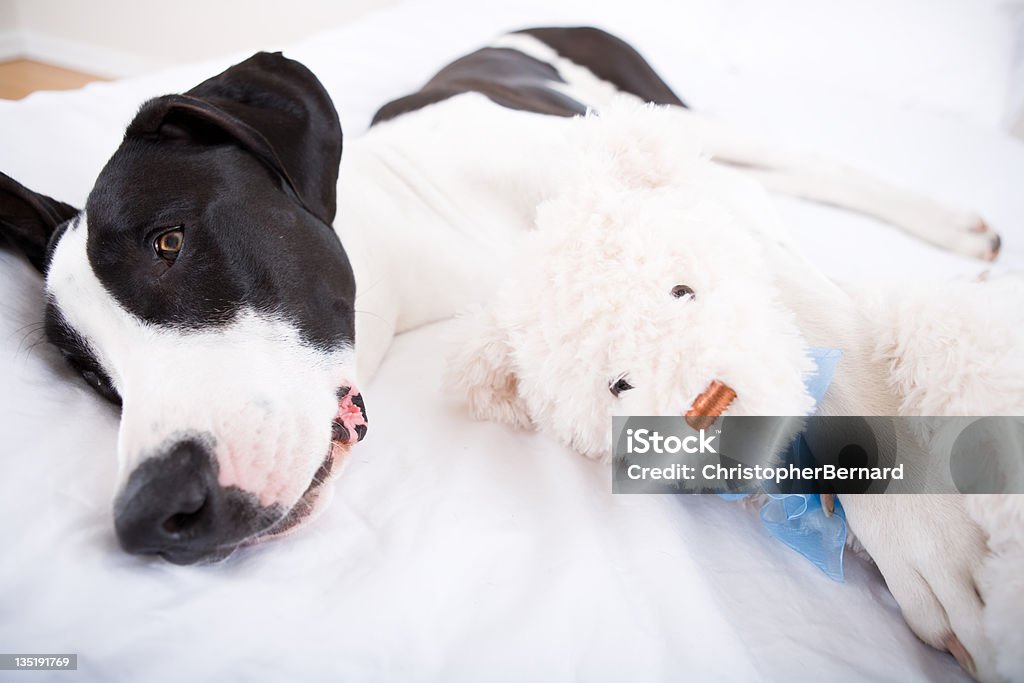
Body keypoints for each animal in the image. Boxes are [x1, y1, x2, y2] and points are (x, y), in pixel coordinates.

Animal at [0, 26, 1007, 679]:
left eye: (169, 242)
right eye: (92, 375)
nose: (149, 515)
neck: (423, 221)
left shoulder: (688, 199)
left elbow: (839, 343)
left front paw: (929, 541)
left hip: (663, 109)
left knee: (794, 162)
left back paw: (953, 226)